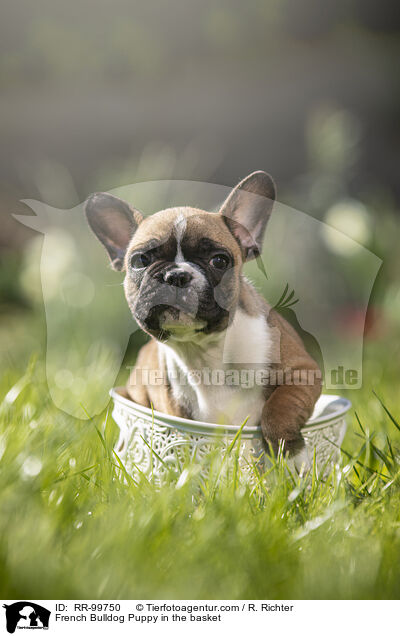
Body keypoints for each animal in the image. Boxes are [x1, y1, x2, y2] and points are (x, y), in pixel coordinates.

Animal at [85, 174, 322, 460]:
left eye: (219, 261)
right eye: (140, 261)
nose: (176, 275)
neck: (207, 350)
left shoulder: (302, 372)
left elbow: (281, 406)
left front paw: (291, 454)